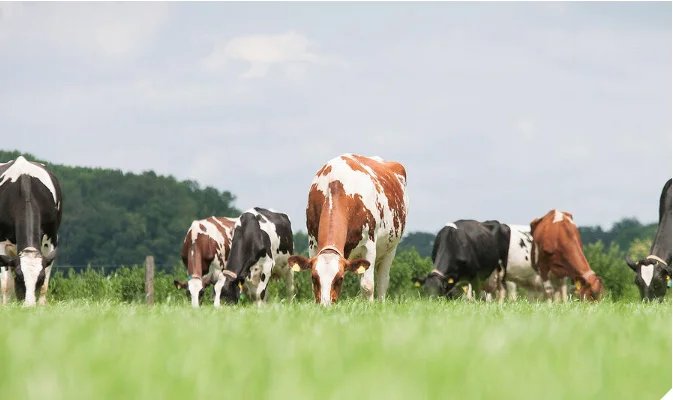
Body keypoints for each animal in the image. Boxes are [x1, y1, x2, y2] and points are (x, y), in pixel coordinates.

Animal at [0, 155, 62, 307]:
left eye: (40, 278)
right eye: (19, 277)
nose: (29, 305)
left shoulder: (52, 239)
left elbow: (45, 284)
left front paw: (41, 305)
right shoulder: (1, 242)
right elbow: (5, 284)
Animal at [288, 153, 409, 306]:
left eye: (339, 279)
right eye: (314, 278)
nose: (325, 306)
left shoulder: (369, 246)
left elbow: (368, 286)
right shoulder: (312, 244)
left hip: (391, 249)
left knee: (383, 282)